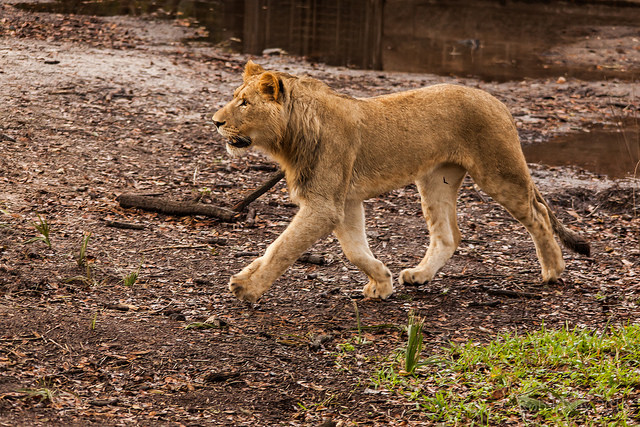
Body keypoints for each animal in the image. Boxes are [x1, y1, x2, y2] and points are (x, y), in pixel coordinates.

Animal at [214, 61, 592, 306]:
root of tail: (499, 102)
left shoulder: (324, 204)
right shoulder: (345, 201)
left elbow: (283, 247)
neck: (290, 137)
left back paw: (553, 270)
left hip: (498, 173)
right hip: (435, 179)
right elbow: (354, 249)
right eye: (234, 97)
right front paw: (382, 283)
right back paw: (420, 274)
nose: (215, 121)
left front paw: (247, 287)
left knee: (538, 215)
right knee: (449, 235)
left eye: (245, 103)